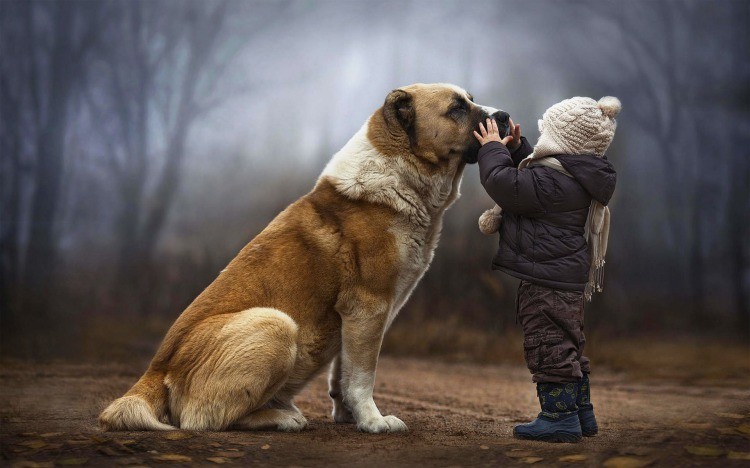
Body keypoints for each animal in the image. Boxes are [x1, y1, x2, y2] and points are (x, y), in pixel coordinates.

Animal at [100, 82, 512, 434]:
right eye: (457, 108)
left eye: (471, 100)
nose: (505, 116)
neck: (400, 174)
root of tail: (154, 372)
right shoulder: (369, 307)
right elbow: (363, 375)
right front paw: (373, 422)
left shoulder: (356, 318)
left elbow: (344, 373)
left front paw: (349, 416)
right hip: (276, 324)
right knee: (203, 419)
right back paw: (283, 417)